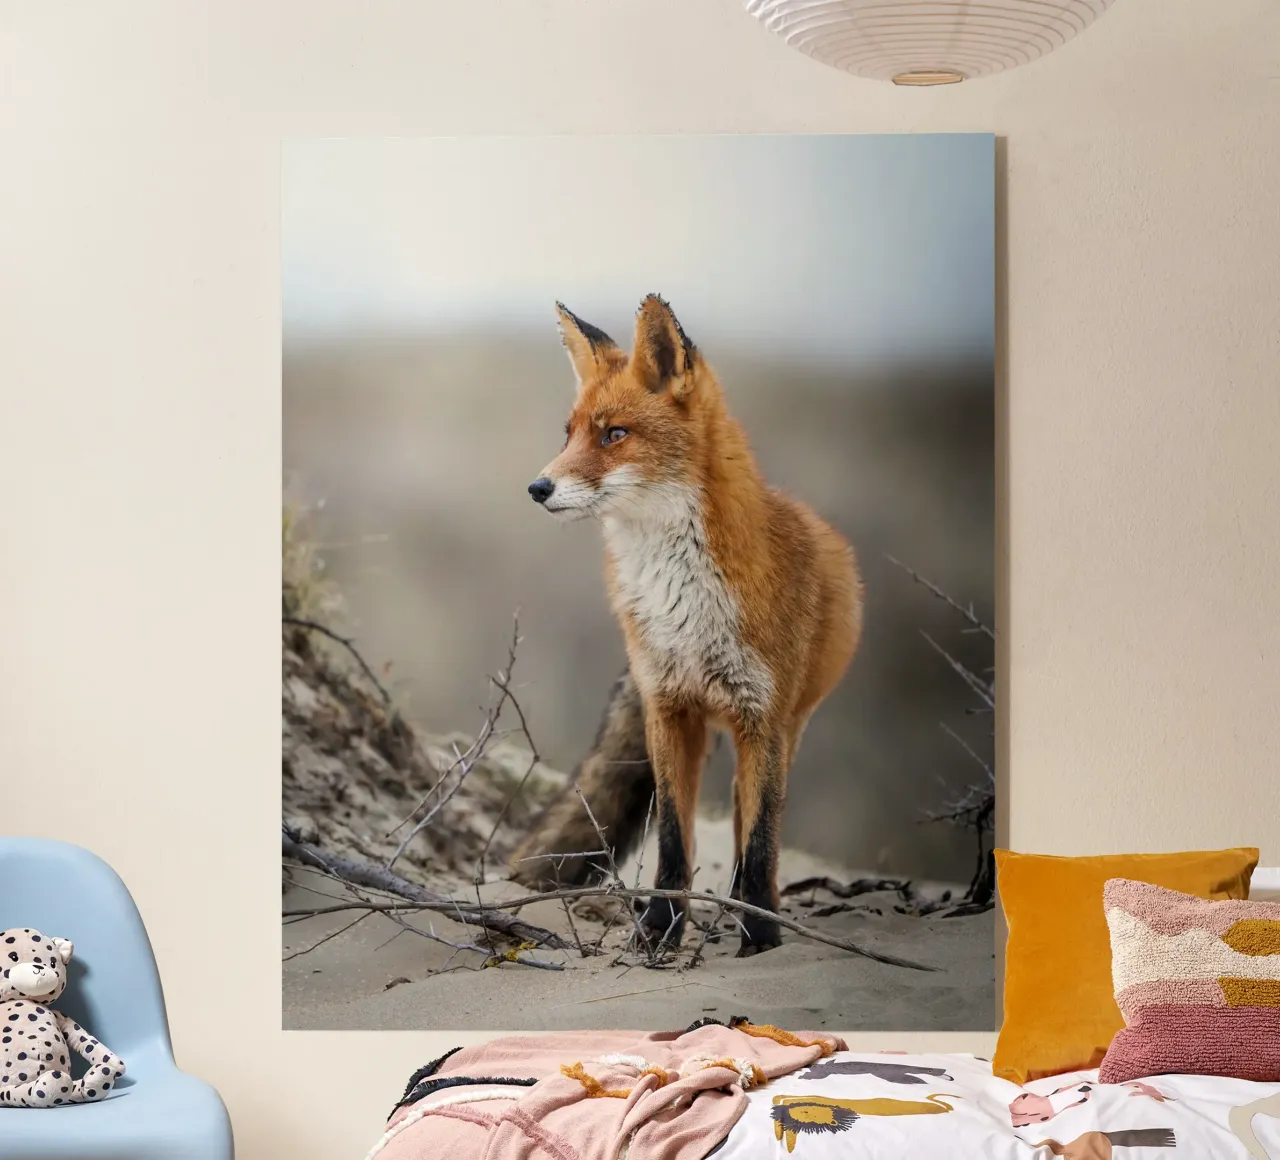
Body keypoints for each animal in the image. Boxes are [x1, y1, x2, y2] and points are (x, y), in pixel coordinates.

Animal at [514, 294, 863, 956]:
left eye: (614, 434)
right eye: (569, 434)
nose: (536, 487)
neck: (684, 604)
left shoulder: (763, 716)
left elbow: (760, 841)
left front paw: (760, 937)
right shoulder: (668, 706)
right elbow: (674, 839)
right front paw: (658, 929)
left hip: (785, 731)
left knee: (751, 826)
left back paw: (751, 908)